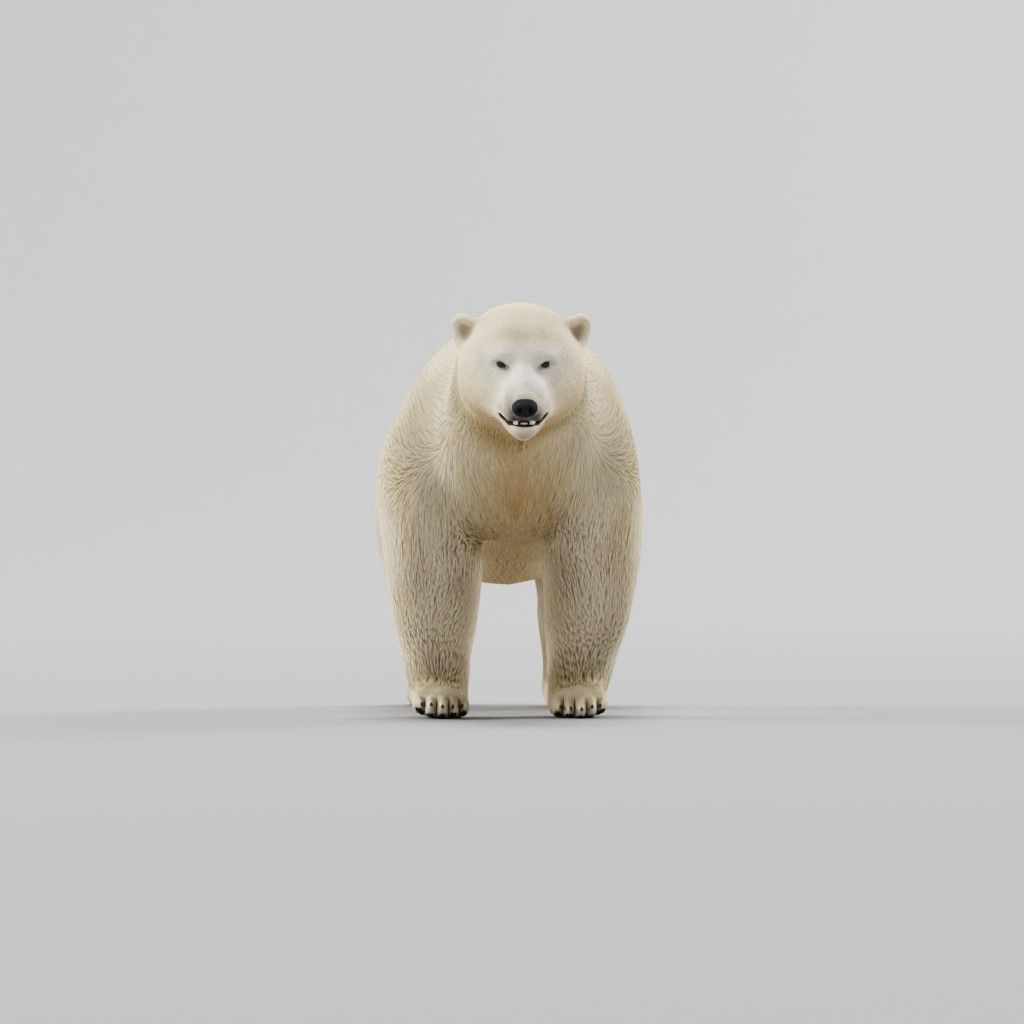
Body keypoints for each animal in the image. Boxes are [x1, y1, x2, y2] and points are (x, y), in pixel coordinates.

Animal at [376, 302, 641, 718]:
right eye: (499, 362)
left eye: (546, 362)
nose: (524, 404)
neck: (514, 451)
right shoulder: (436, 471)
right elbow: (432, 573)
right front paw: (439, 698)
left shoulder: (590, 470)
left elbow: (590, 572)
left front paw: (578, 698)